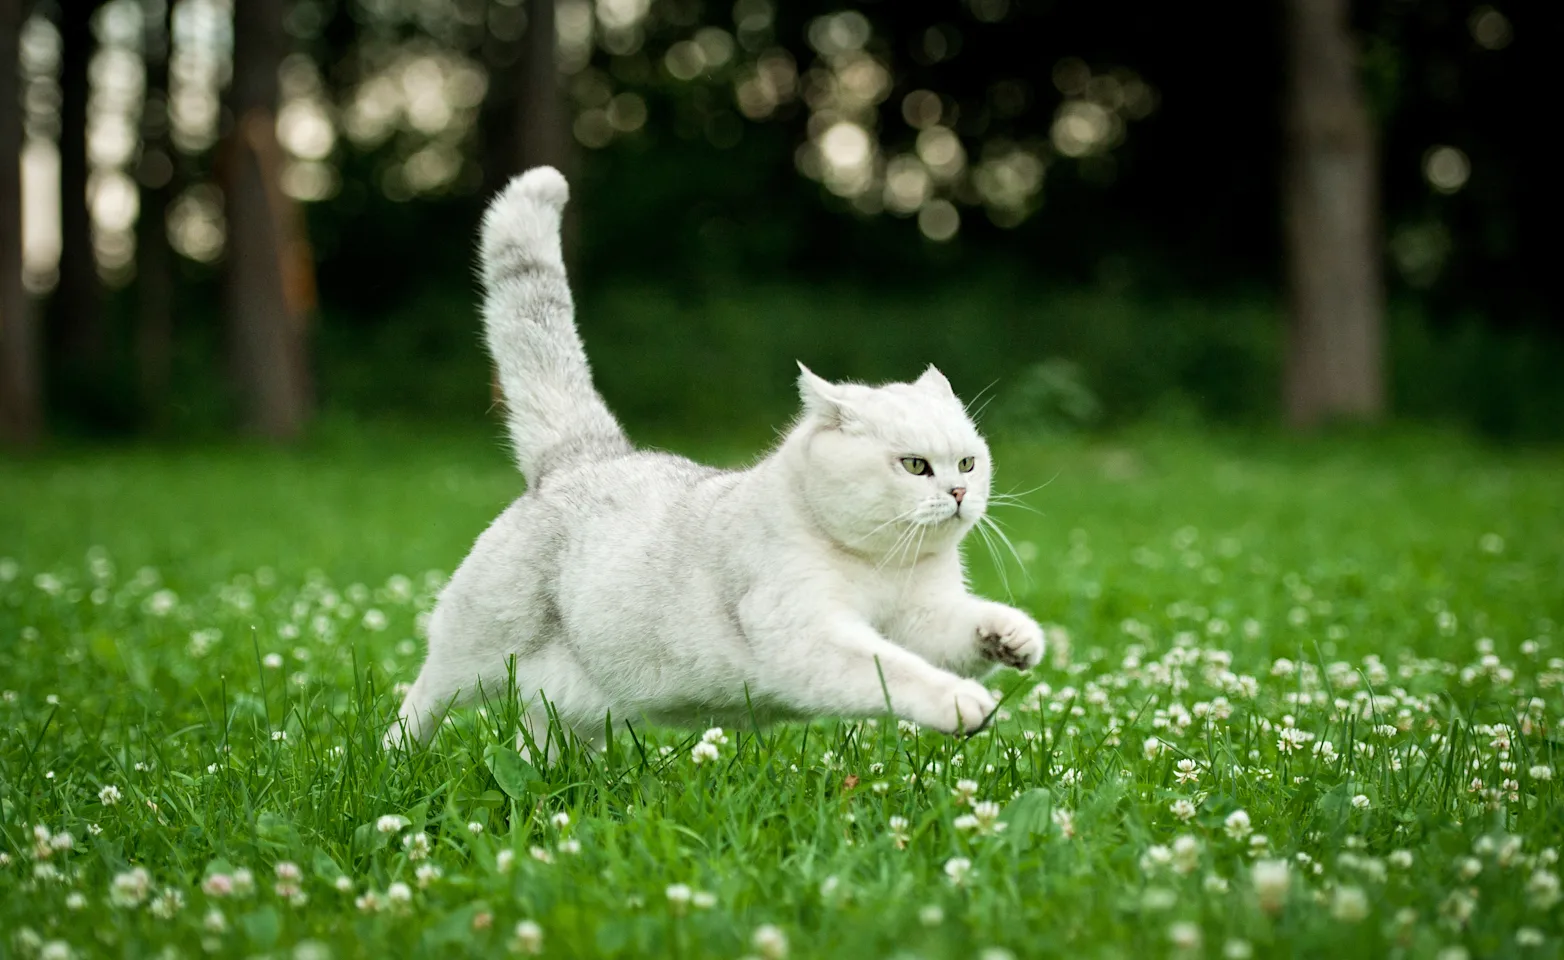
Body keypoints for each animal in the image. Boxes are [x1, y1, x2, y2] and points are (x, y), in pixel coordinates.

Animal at [386, 171, 1044, 759]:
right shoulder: (808, 636)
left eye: (968, 463)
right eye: (914, 466)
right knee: (421, 701)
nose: (959, 494)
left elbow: (963, 631)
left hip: (575, 707)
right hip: (471, 652)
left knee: (539, 743)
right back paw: (396, 763)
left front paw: (1011, 636)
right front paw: (961, 703)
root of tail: (585, 455)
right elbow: (895, 671)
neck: (881, 565)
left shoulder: (924, 618)